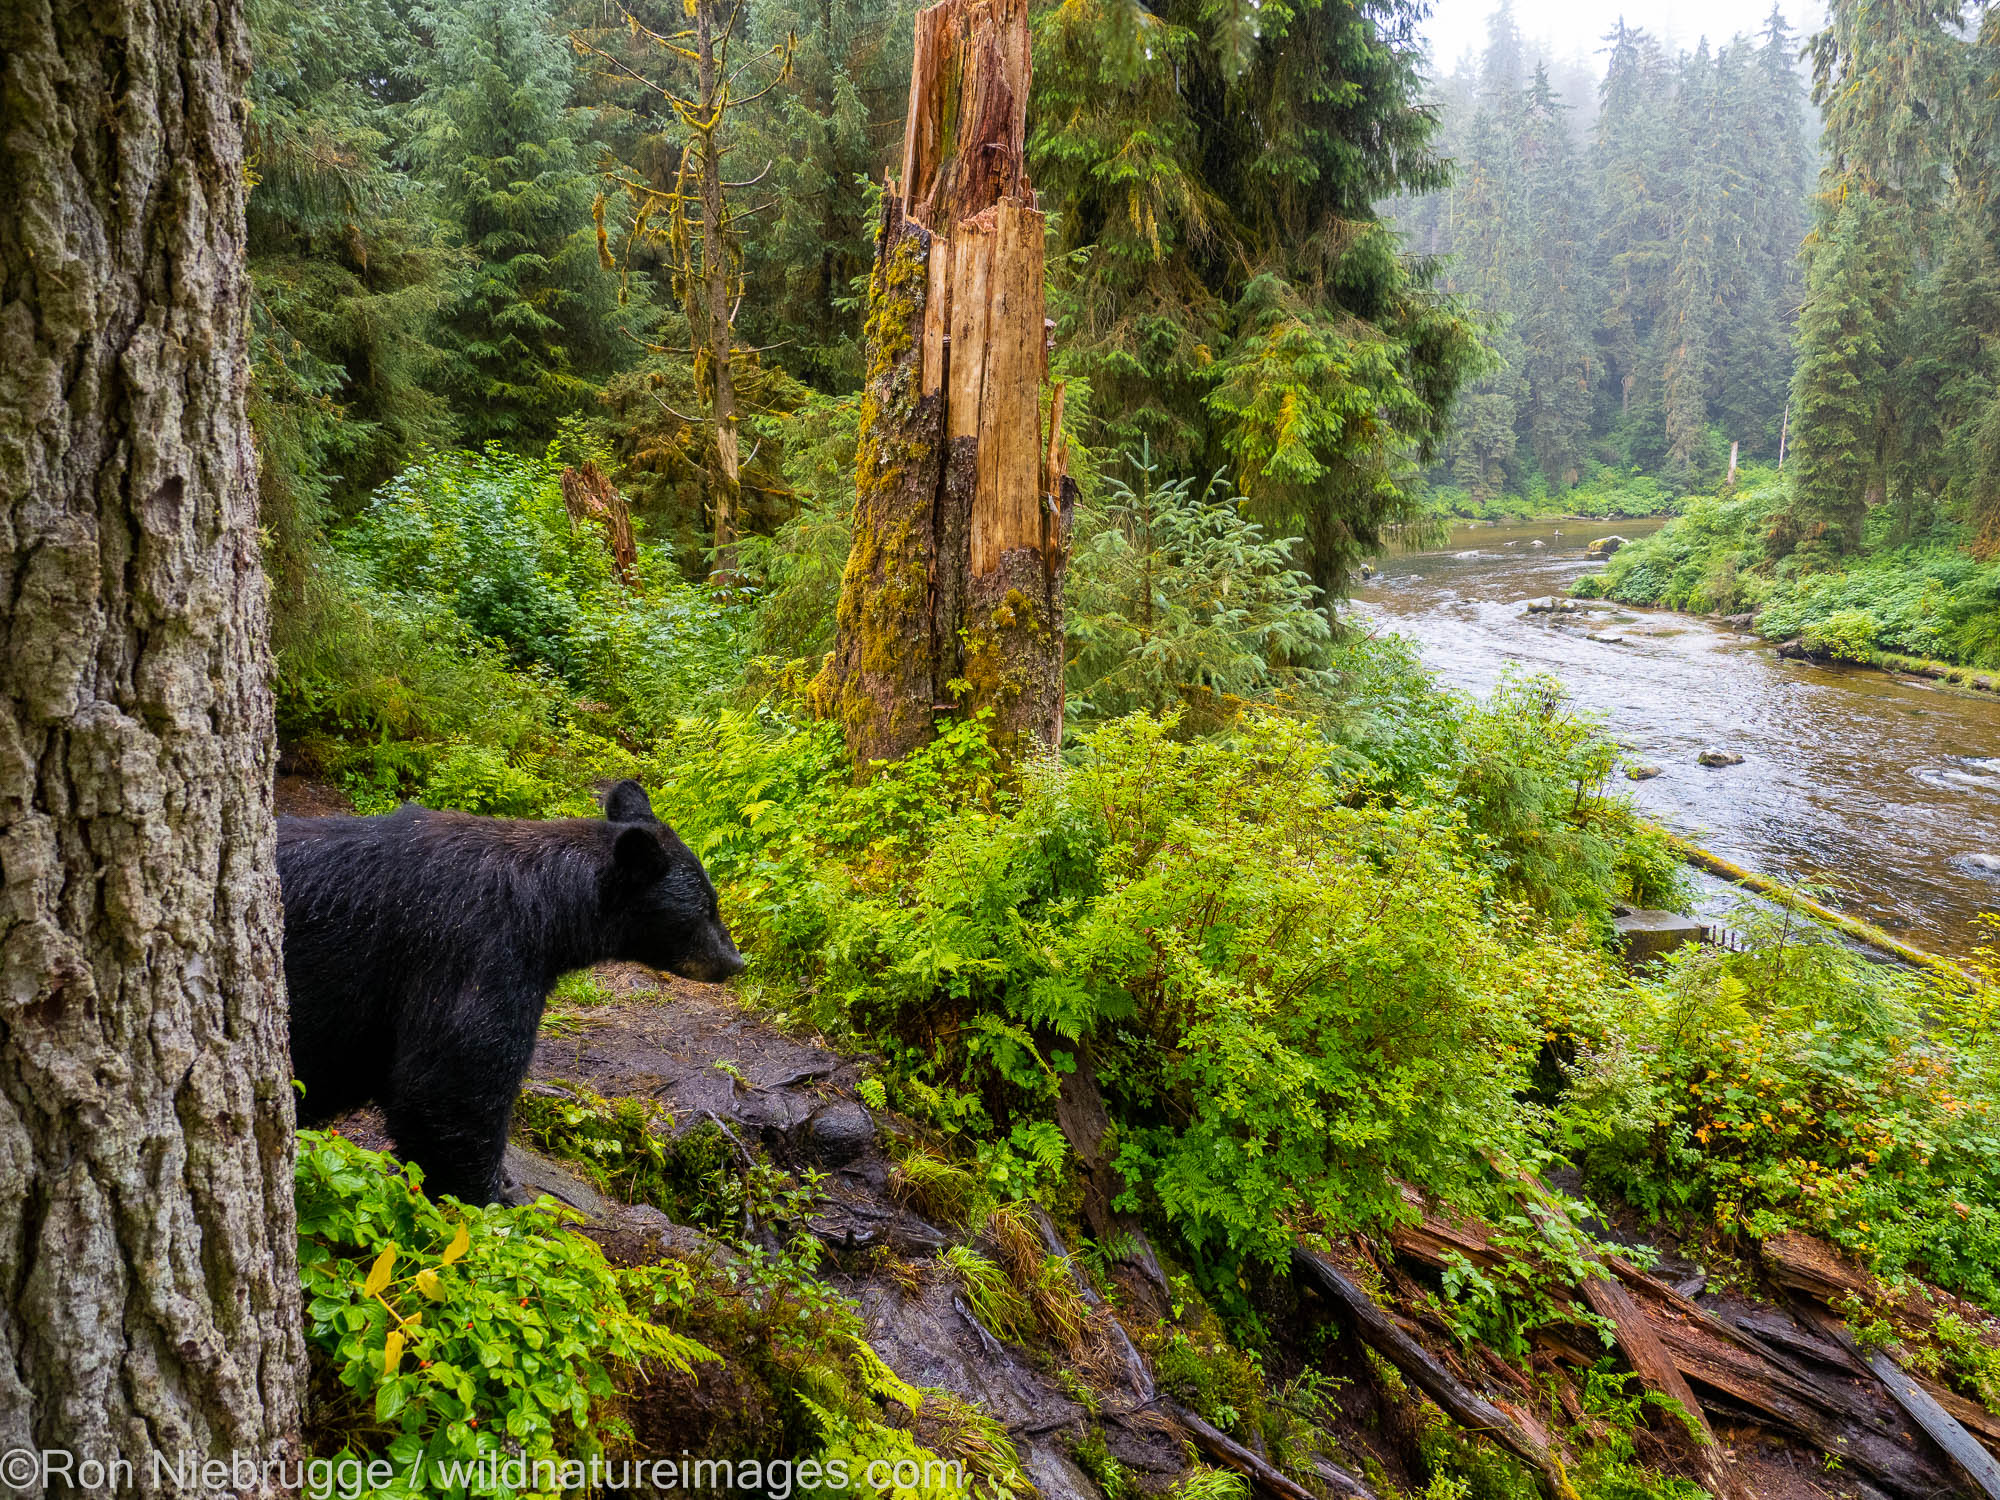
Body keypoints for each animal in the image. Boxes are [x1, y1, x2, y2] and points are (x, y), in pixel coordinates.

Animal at [282, 780, 744, 1208]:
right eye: (705, 909)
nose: (735, 961)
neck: (546, 909)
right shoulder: (474, 952)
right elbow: (453, 1081)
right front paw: (492, 1195)